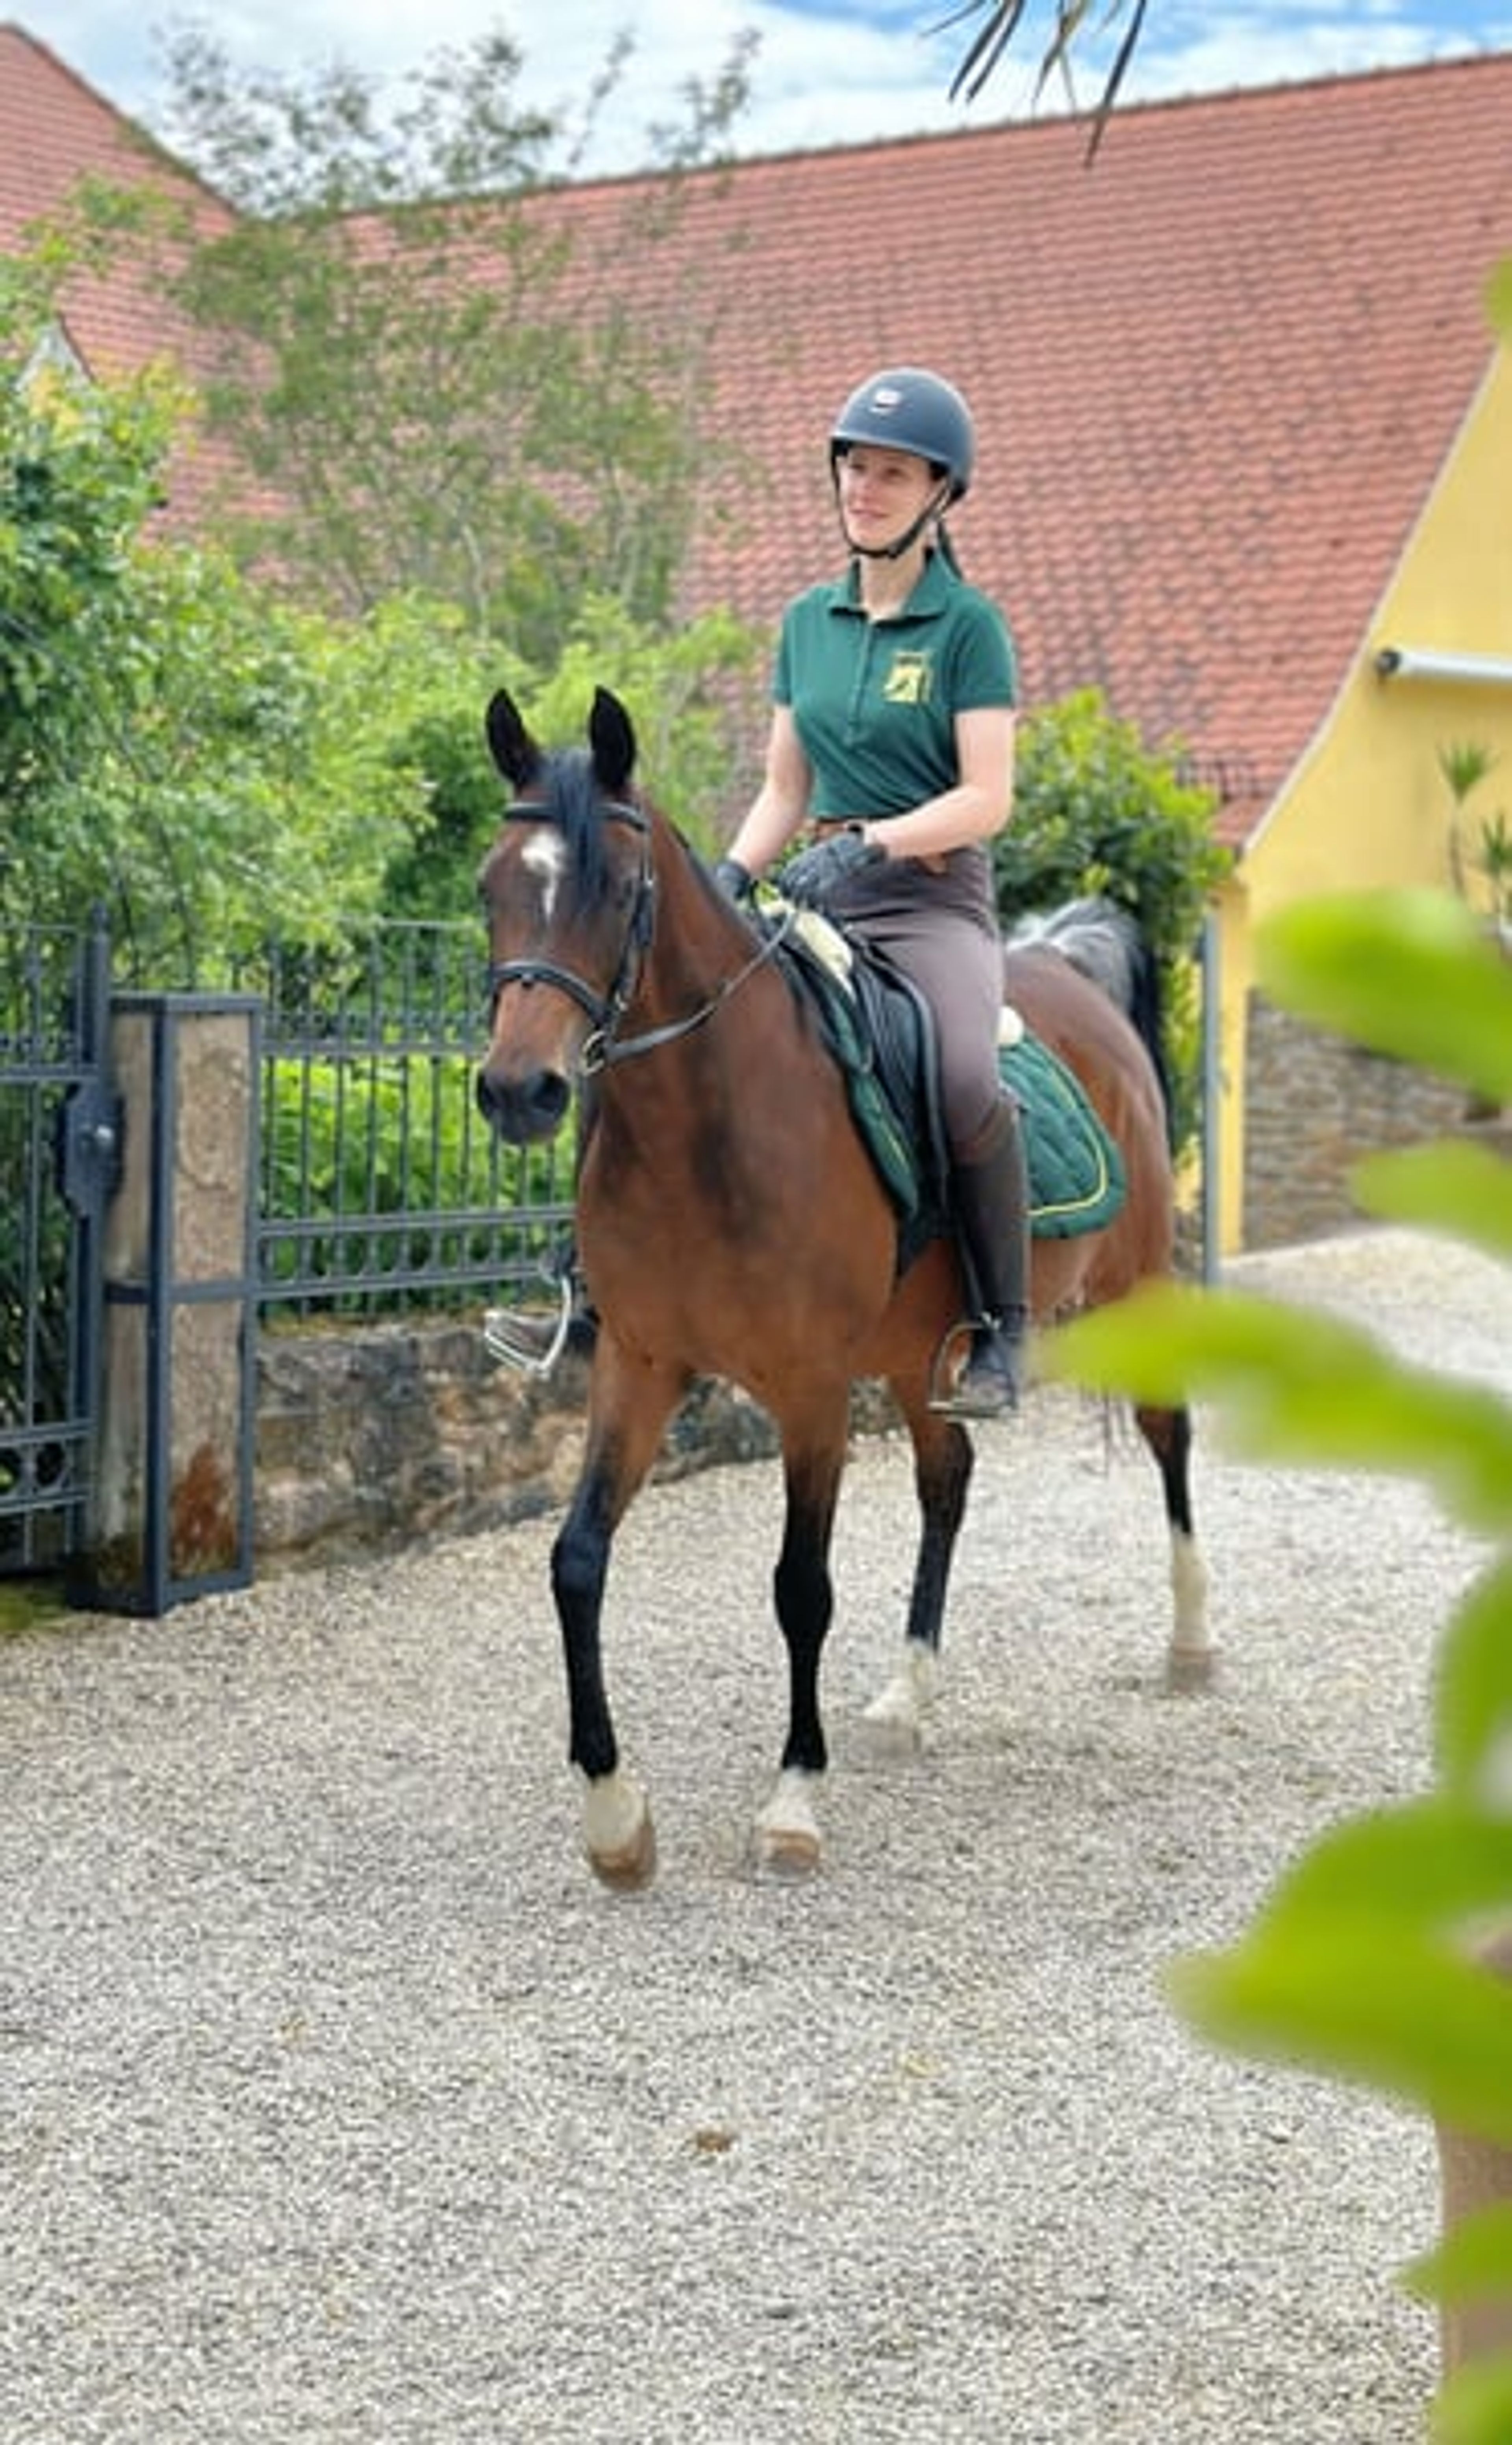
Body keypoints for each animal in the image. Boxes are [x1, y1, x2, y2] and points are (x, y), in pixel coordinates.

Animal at [474, 684, 1210, 1888]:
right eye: (492, 887)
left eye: (617, 889)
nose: (517, 1093)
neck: (708, 1127)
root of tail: (1061, 962)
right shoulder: (638, 1361)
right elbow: (577, 1562)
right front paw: (615, 1817)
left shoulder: (810, 1389)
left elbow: (799, 1588)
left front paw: (792, 1803)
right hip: (924, 1353)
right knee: (947, 1481)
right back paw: (908, 1695)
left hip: (1133, 1286)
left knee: (1166, 1432)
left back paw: (1193, 1643)